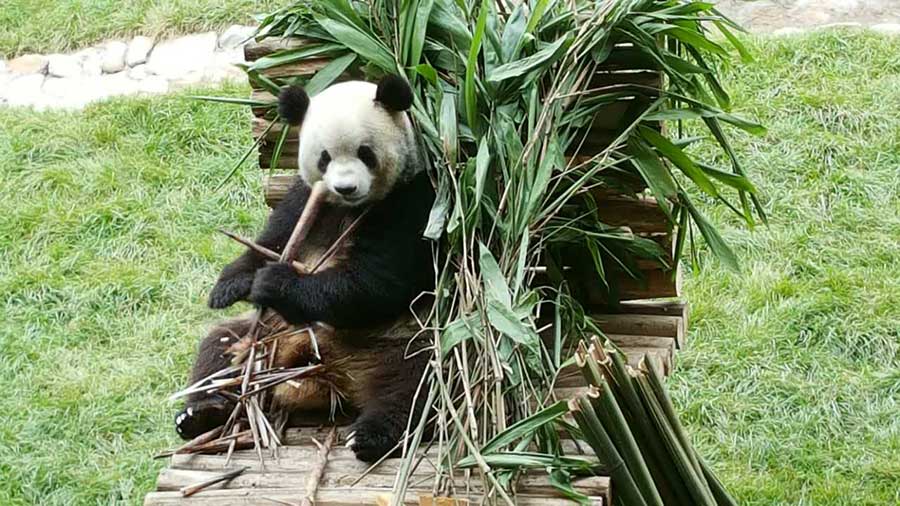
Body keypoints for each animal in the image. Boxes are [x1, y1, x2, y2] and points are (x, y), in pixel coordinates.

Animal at [176, 76, 436, 462]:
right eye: (325, 157)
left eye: (365, 152)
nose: (345, 187)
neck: (348, 207)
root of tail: (333, 376)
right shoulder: (304, 199)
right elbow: (273, 241)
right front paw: (230, 285)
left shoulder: (410, 203)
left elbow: (376, 281)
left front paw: (277, 284)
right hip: (267, 337)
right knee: (218, 350)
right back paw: (201, 412)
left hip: (402, 341)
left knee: (417, 383)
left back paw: (371, 436)